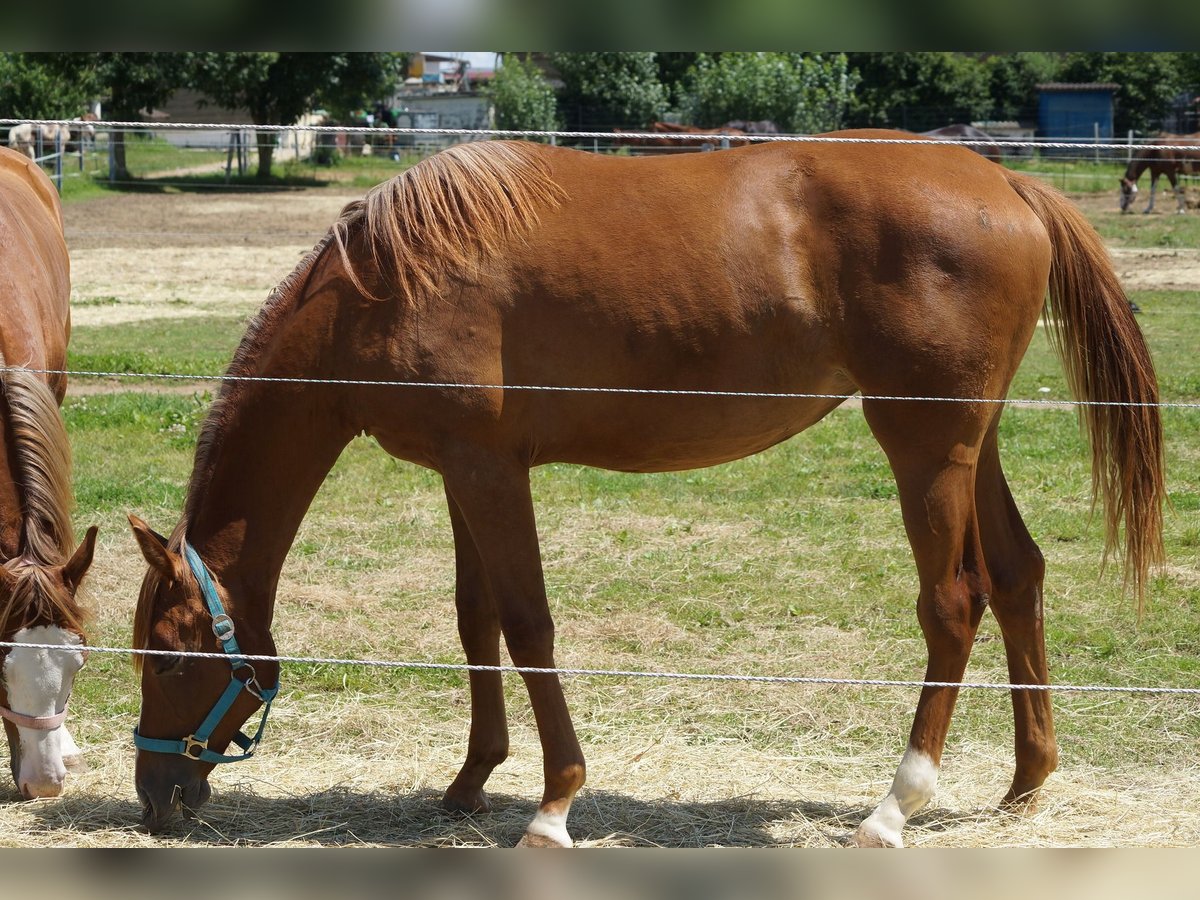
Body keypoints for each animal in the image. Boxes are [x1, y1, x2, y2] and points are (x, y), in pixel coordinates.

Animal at [129, 130, 1161, 849]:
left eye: (171, 659)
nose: (156, 798)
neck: (380, 285)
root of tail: (1008, 184)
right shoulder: (464, 472)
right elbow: (476, 622)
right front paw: (469, 783)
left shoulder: (490, 472)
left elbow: (528, 626)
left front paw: (553, 804)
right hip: (969, 447)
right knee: (1018, 576)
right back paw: (1026, 783)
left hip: (924, 448)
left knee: (953, 604)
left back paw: (893, 808)